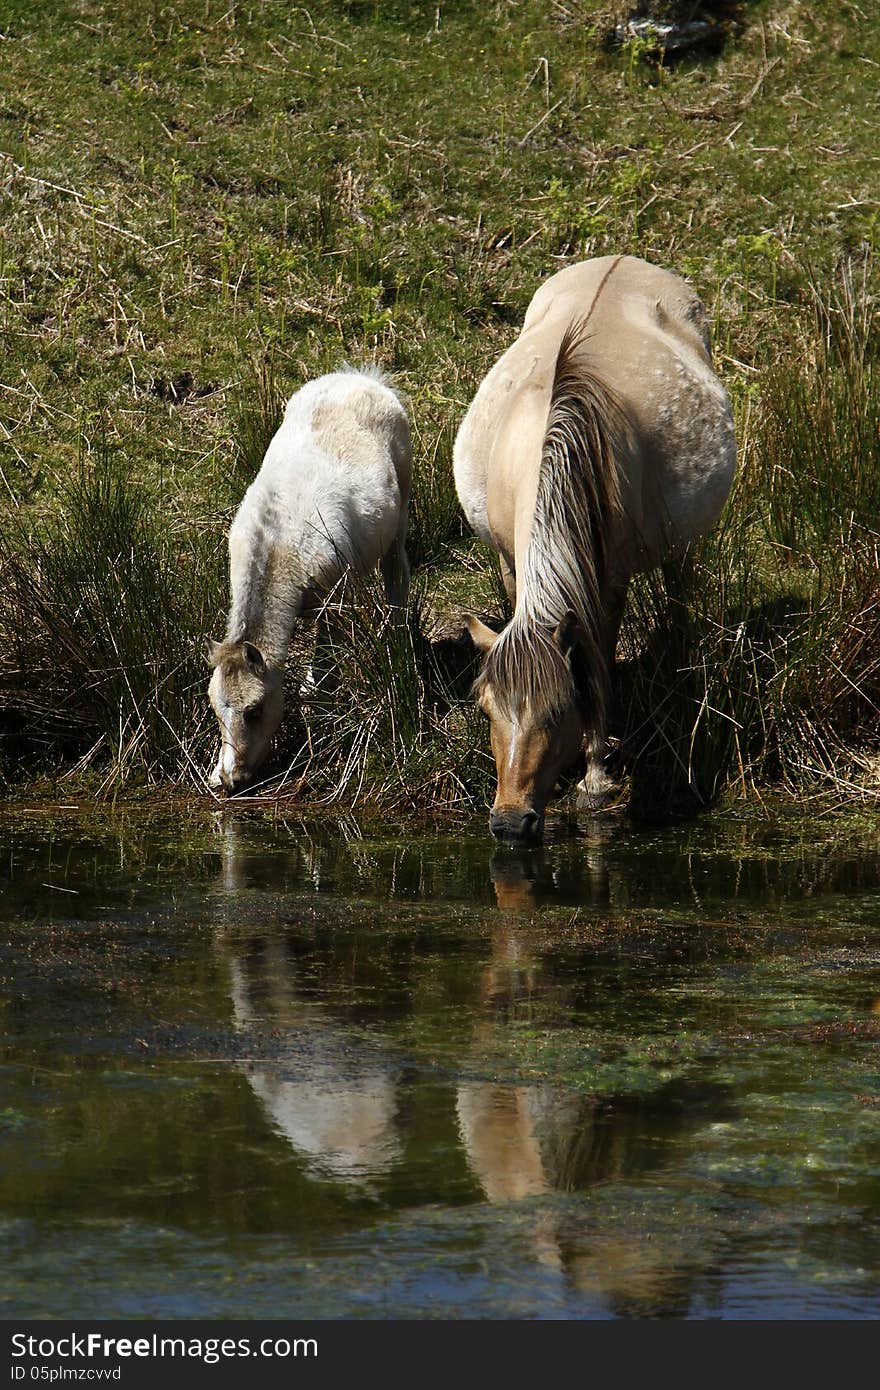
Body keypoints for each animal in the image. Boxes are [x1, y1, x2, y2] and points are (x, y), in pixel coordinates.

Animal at [207, 369, 411, 795]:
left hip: (403, 499)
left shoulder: (333, 596)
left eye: (254, 711)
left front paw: (320, 707)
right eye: (216, 710)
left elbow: (322, 660)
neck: (277, 544)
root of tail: (361, 377)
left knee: (395, 569)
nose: (233, 778)